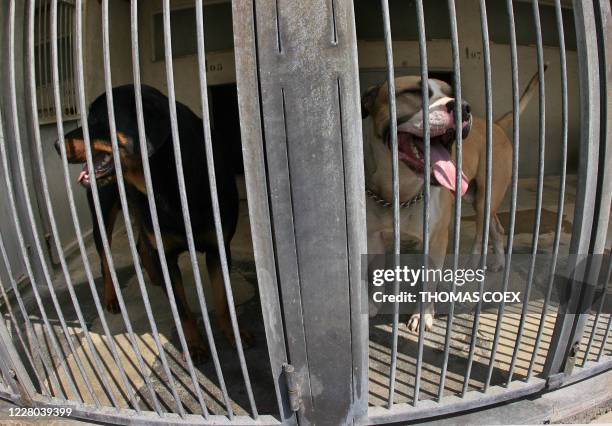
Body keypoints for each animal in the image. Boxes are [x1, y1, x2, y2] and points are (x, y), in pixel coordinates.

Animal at [55, 85, 246, 362]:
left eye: (99, 119)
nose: (57, 144)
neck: (168, 182)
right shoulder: (166, 254)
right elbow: (183, 309)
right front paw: (195, 345)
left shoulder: (218, 249)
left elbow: (223, 301)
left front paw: (235, 336)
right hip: (103, 215)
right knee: (106, 260)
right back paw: (112, 298)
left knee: (141, 245)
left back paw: (154, 276)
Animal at [360, 68, 544, 332]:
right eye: (413, 92)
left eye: (452, 92)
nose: (463, 107)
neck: (402, 190)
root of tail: (495, 125)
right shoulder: (373, 237)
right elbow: (377, 273)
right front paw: (374, 303)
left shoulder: (436, 239)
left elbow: (428, 283)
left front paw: (422, 315)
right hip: (476, 198)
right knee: (496, 227)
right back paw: (498, 262)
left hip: (484, 200)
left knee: (481, 234)